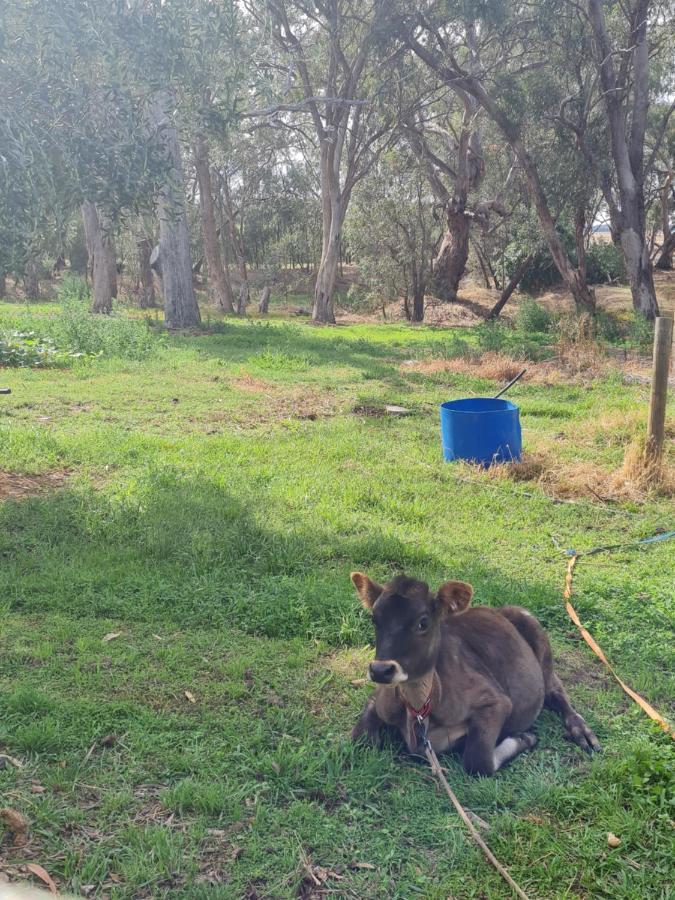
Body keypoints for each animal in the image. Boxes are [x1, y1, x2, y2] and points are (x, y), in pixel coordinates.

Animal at [352, 576, 600, 772]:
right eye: (375, 619)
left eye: (423, 623)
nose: (380, 670)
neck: (419, 712)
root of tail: (497, 610)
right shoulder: (379, 697)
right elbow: (360, 739)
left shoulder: (496, 701)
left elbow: (477, 761)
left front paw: (523, 737)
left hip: (533, 628)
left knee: (555, 690)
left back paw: (581, 730)